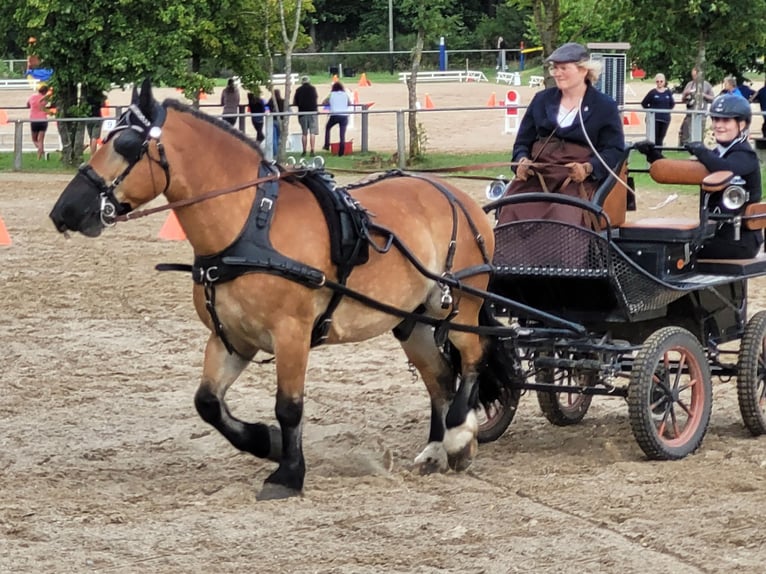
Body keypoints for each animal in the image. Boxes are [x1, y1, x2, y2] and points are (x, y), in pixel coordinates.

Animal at [51, 79, 512, 502]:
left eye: (126, 144)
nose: (64, 212)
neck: (248, 227)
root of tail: (454, 193)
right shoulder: (231, 339)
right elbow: (208, 403)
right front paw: (266, 442)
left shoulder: (291, 334)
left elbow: (288, 406)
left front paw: (288, 474)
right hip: (412, 322)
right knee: (440, 377)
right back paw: (438, 446)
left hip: (461, 305)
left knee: (472, 358)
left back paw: (459, 434)